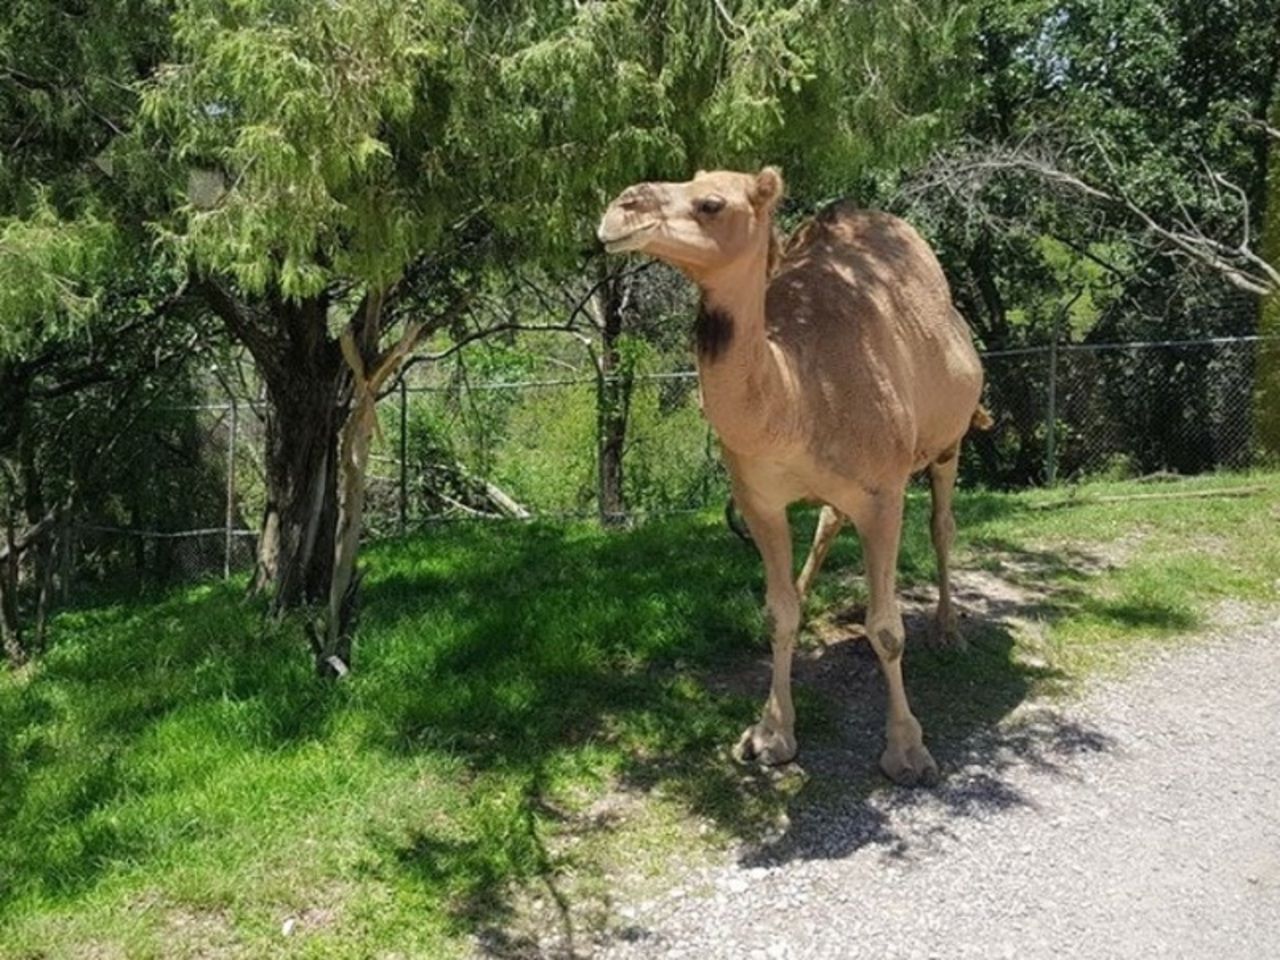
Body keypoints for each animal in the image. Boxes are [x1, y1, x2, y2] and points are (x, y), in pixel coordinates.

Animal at [599, 165, 988, 783]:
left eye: (711, 203)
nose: (621, 207)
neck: (800, 394)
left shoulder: (883, 494)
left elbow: (886, 629)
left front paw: (907, 751)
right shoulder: (759, 499)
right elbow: (778, 614)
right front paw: (768, 735)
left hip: (949, 440)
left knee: (941, 526)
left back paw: (949, 632)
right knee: (830, 521)